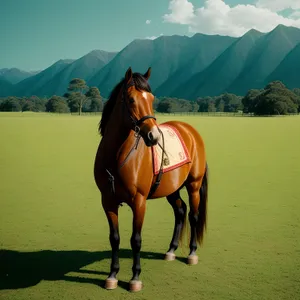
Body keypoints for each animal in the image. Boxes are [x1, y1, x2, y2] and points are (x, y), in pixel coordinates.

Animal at [94, 67, 209, 292]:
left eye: (152, 98)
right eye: (131, 99)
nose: (153, 136)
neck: (116, 157)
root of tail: (190, 130)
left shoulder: (139, 202)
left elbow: (136, 239)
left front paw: (135, 277)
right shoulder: (107, 201)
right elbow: (115, 238)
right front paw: (112, 275)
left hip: (194, 185)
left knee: (193, 215)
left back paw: (191, 253)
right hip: (172, 188)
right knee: (180, 211)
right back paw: (171, 250)